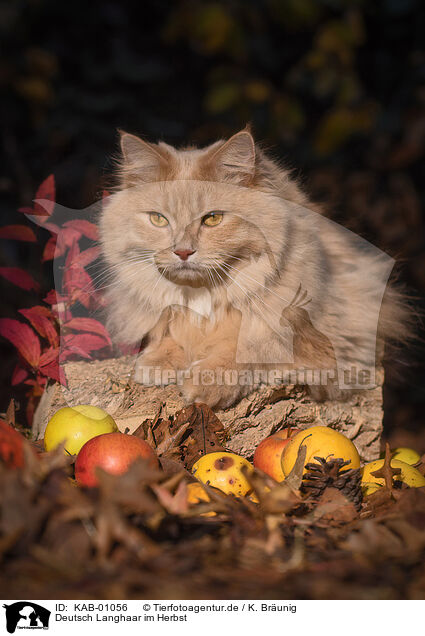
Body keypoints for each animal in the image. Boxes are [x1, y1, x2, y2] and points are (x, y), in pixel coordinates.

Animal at [97, 129, 410, 408]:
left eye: (213, 218)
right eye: (158, 219)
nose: (182, 251)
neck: (203, 296)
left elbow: (250, 347)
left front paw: (209, 381)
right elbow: (170, 333)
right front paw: (158, 361)